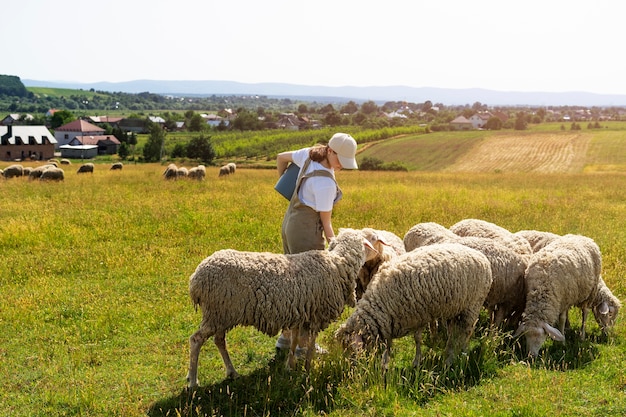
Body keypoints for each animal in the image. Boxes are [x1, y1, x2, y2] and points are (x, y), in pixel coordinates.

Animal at [185, 226, 376, 386]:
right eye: (371, 240)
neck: (338, 264)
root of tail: (195, 279)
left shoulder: (301, 312)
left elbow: (295, 341)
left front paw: (290, 366)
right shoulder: (317, 315)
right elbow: (309, 344)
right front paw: (308, 368)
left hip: (221, 314)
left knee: (219, 340)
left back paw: (232, 372)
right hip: (217, 313)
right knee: (196, 340)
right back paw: (193, 381)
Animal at [334, 242, 490, 368]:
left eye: (349, 349)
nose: (348, 368)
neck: (380, 304)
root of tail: (482, 256)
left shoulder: (417, 316)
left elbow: (417, 339)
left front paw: (416, 361)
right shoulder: (390, 321)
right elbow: (389, 343)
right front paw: (385, 363)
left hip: (473, 304)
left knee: (467, 331)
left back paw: (461, 354)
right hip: (455, 308)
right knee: (453, 333)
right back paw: (450, 354)